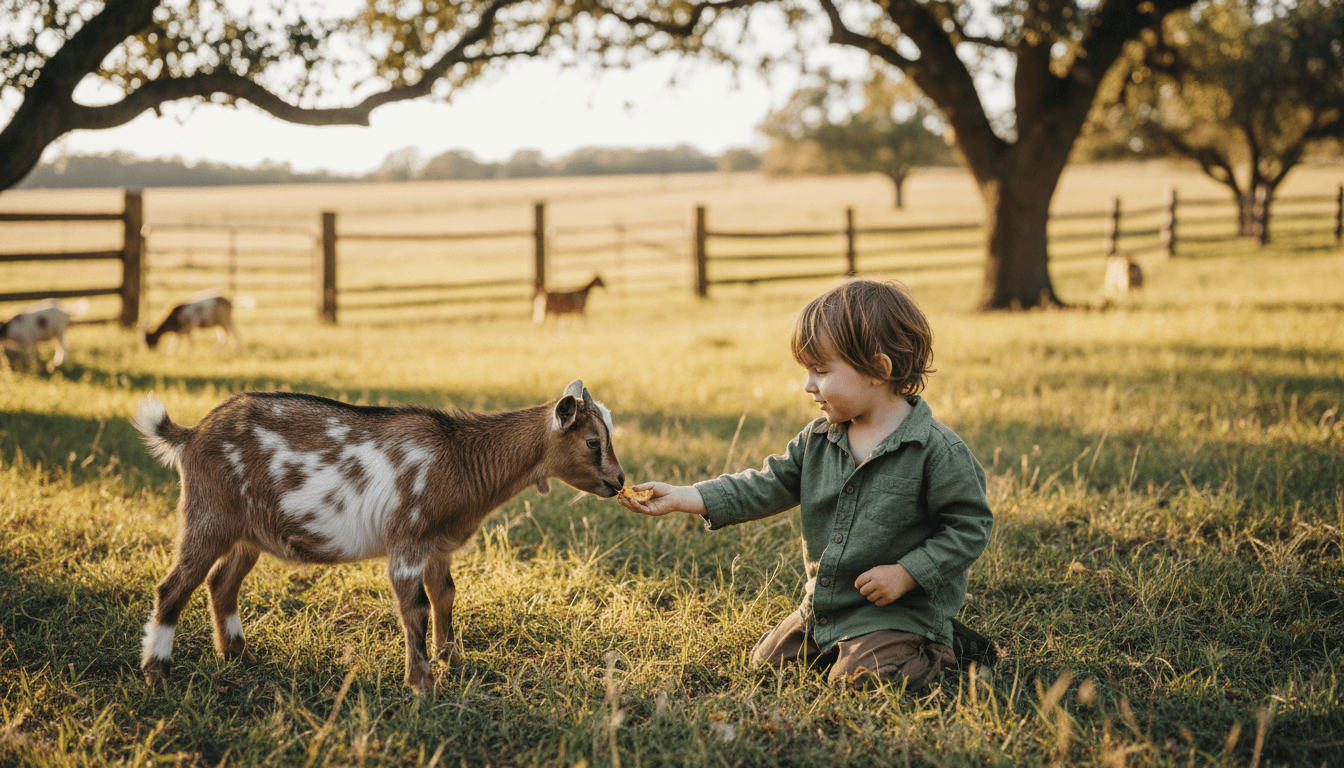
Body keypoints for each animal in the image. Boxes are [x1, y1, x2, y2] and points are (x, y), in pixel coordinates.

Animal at [132, 380, 625, 692]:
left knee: (221, 583)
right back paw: (157, 670)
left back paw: (238, 656)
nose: (619, 482)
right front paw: (422, 683)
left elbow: (445, 595)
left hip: (247, 534)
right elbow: (417, 606)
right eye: (592, 442)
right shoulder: (407, 541)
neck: (461, 456)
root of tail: (190, 435)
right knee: (174, 586)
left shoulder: (437, 546)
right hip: (209, 517)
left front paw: (453, 663)